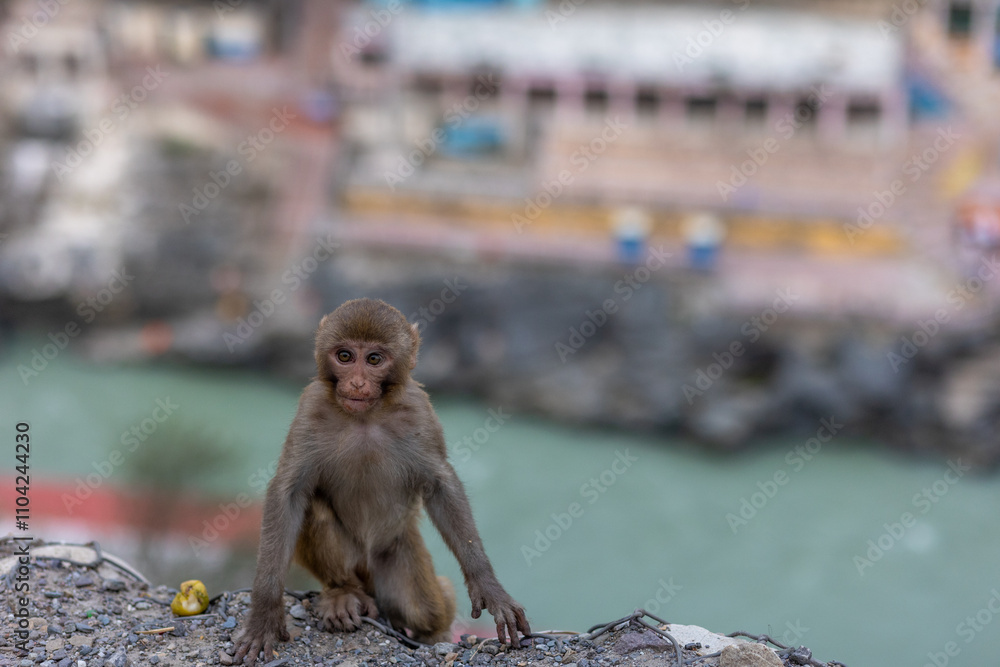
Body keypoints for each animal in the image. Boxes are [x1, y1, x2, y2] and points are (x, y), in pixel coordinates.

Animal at [233, 298, 530, 665]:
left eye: (374, 359)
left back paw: (434, 629)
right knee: (315, 510)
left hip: (398, 553)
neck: (366, 416)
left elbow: (440, 485)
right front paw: (264, 612)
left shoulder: (418, 410)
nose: (358, 384)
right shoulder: (311, 406)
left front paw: (487, 585)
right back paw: (343, 592)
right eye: (345, 356)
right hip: (357, 567)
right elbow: (289, 493)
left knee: (425, 610)